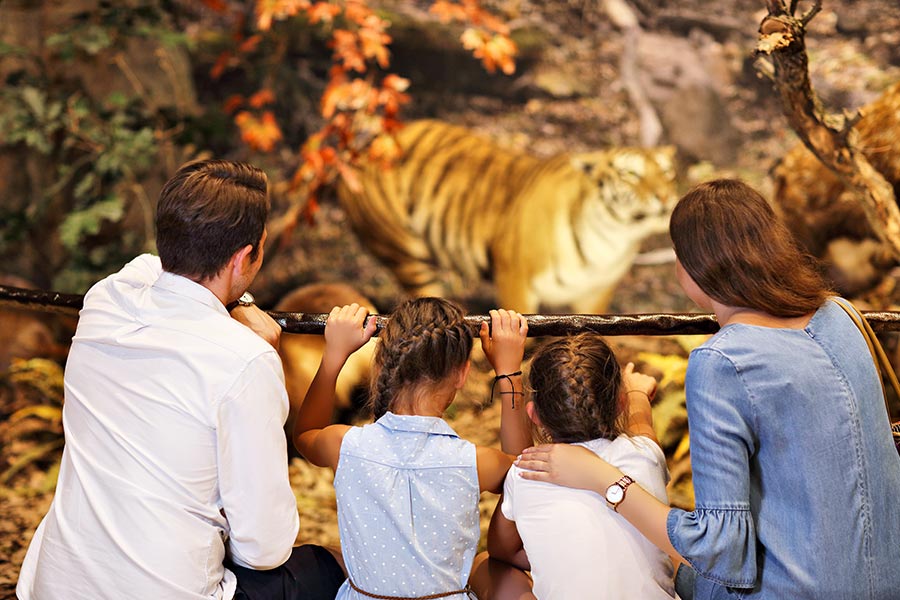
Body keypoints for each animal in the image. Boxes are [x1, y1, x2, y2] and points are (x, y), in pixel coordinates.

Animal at [336, 119, 676, 312]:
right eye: (631, 174)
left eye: (668, 172)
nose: (664, 195)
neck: (613, 239)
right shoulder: (515, 278)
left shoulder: (595, 294)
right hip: (403, 254)